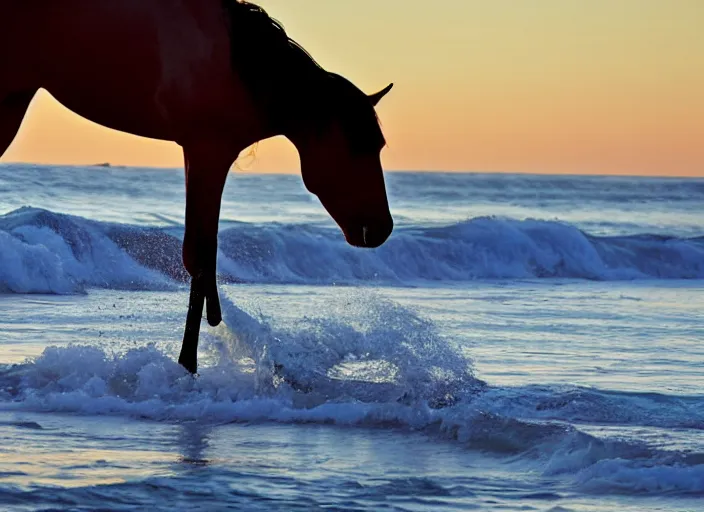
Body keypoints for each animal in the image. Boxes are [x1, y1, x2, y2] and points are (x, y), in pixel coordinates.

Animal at [0, 1, 394, 376]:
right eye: (357, 148)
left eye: (380, 145)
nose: (382, 228)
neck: (237, 62)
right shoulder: (210, 151)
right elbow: (201, 256)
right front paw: (187, 363)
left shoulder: (198, 153)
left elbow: (200, 257)